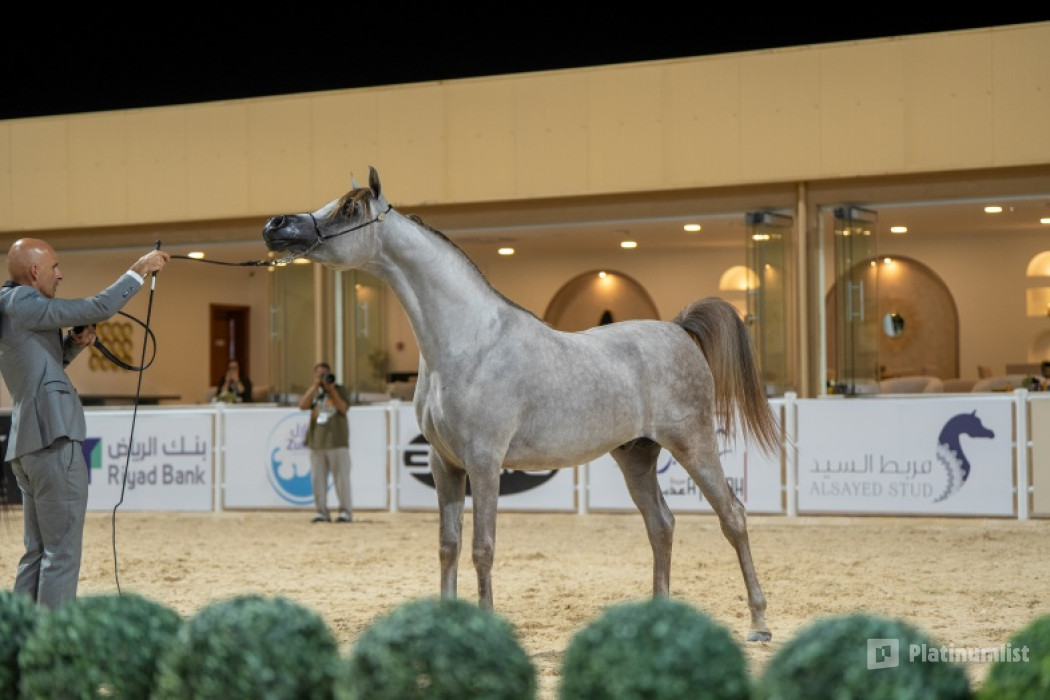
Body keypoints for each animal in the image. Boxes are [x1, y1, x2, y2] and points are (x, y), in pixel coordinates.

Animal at [262, 166, 781, 641]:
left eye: (349, 210)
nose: (276, 225)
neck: (469, 342)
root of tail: (677, 329)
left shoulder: (485, 462)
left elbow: (482, 547)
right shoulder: (445, 464)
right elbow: (448, 545)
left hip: (693, 444)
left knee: (733, 516)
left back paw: (759, 624)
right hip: (635, 455)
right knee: (662, 525)